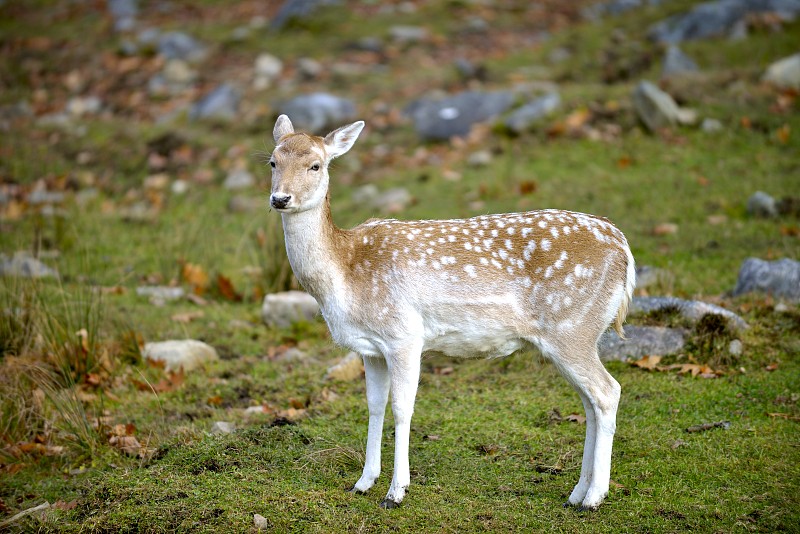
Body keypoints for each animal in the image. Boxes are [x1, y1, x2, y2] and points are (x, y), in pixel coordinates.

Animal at [268, 115, 636, 512]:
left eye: (316, 165)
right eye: (272, 162)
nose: (280, 198)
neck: (344, 274)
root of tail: (624, 248)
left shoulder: (404, 335)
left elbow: (401, 409)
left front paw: (396, 491)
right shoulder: (370, 348)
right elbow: (374, 406)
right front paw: (363, 482)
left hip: (573, 326)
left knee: (607, 391)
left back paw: (594, 497)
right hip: (576, 334)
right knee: (589, 401)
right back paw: (577, 493)